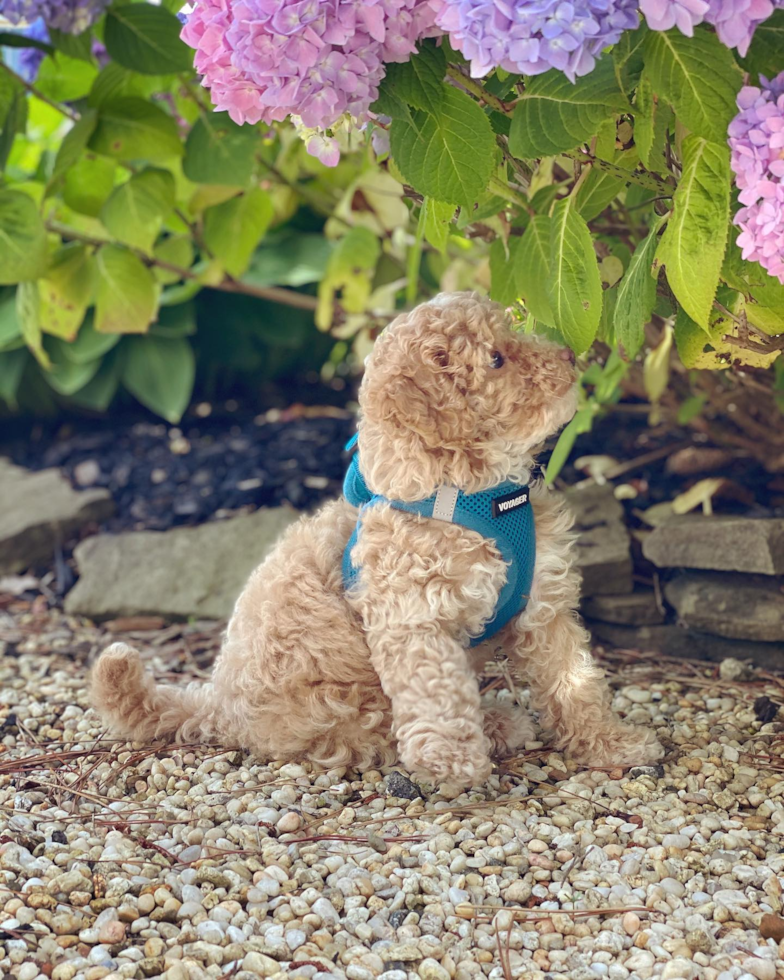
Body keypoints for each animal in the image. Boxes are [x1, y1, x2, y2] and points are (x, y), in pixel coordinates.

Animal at [90, 292, 660, 788]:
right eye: (496, 358)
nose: (569, 355)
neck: (475, 493)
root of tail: (219, 705)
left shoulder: (545, 607)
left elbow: (574, 681)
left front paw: (612, 742)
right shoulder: (413, 617)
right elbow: (436, 692)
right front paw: (454, 760)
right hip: (334, 701)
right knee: (364, 735)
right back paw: (495, 726)